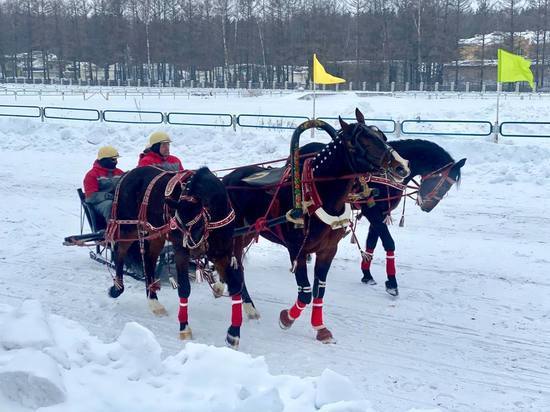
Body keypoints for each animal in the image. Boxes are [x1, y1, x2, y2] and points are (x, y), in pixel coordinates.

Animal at [106, 166, 245, 350]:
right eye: (179, 224)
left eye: (198, 225)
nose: (195, 251)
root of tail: (128, 173)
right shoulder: (181, 251)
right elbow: (184, 288)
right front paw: (184, 328)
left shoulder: (222, 252)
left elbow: (235, 285)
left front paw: (233, 334)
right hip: (128, 227)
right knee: (120, 252)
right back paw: (117, 288)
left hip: (156, 234)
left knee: (149, 260)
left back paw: (154, 302)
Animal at [223, 108, 410, 342]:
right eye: (363, 142)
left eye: (382, 137)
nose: (402, 166)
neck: (317, 193)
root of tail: (225, 180)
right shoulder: (297, 250)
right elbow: (304, 292)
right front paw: (287, 318)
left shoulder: (328, 250)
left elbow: (319, 289)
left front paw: (320, 327)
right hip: (235, 237)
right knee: (237, 268)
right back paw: (247, 306)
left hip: (247, 233)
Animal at [358, 140, 470, 294]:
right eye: (444, 185)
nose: (428, 207)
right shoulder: (371, 211)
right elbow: (388, 242)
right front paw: (392, 282)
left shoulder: (381, 212)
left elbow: (371, 243)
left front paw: (367, 275)